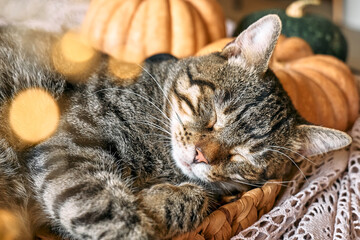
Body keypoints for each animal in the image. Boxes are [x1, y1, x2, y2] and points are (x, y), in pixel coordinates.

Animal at [0, 15, 352, 240]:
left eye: (243, 156)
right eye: (214, 115)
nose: (200, 156)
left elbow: (199, 197)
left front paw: (165, 201)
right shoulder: (70, 146)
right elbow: (112, 214)